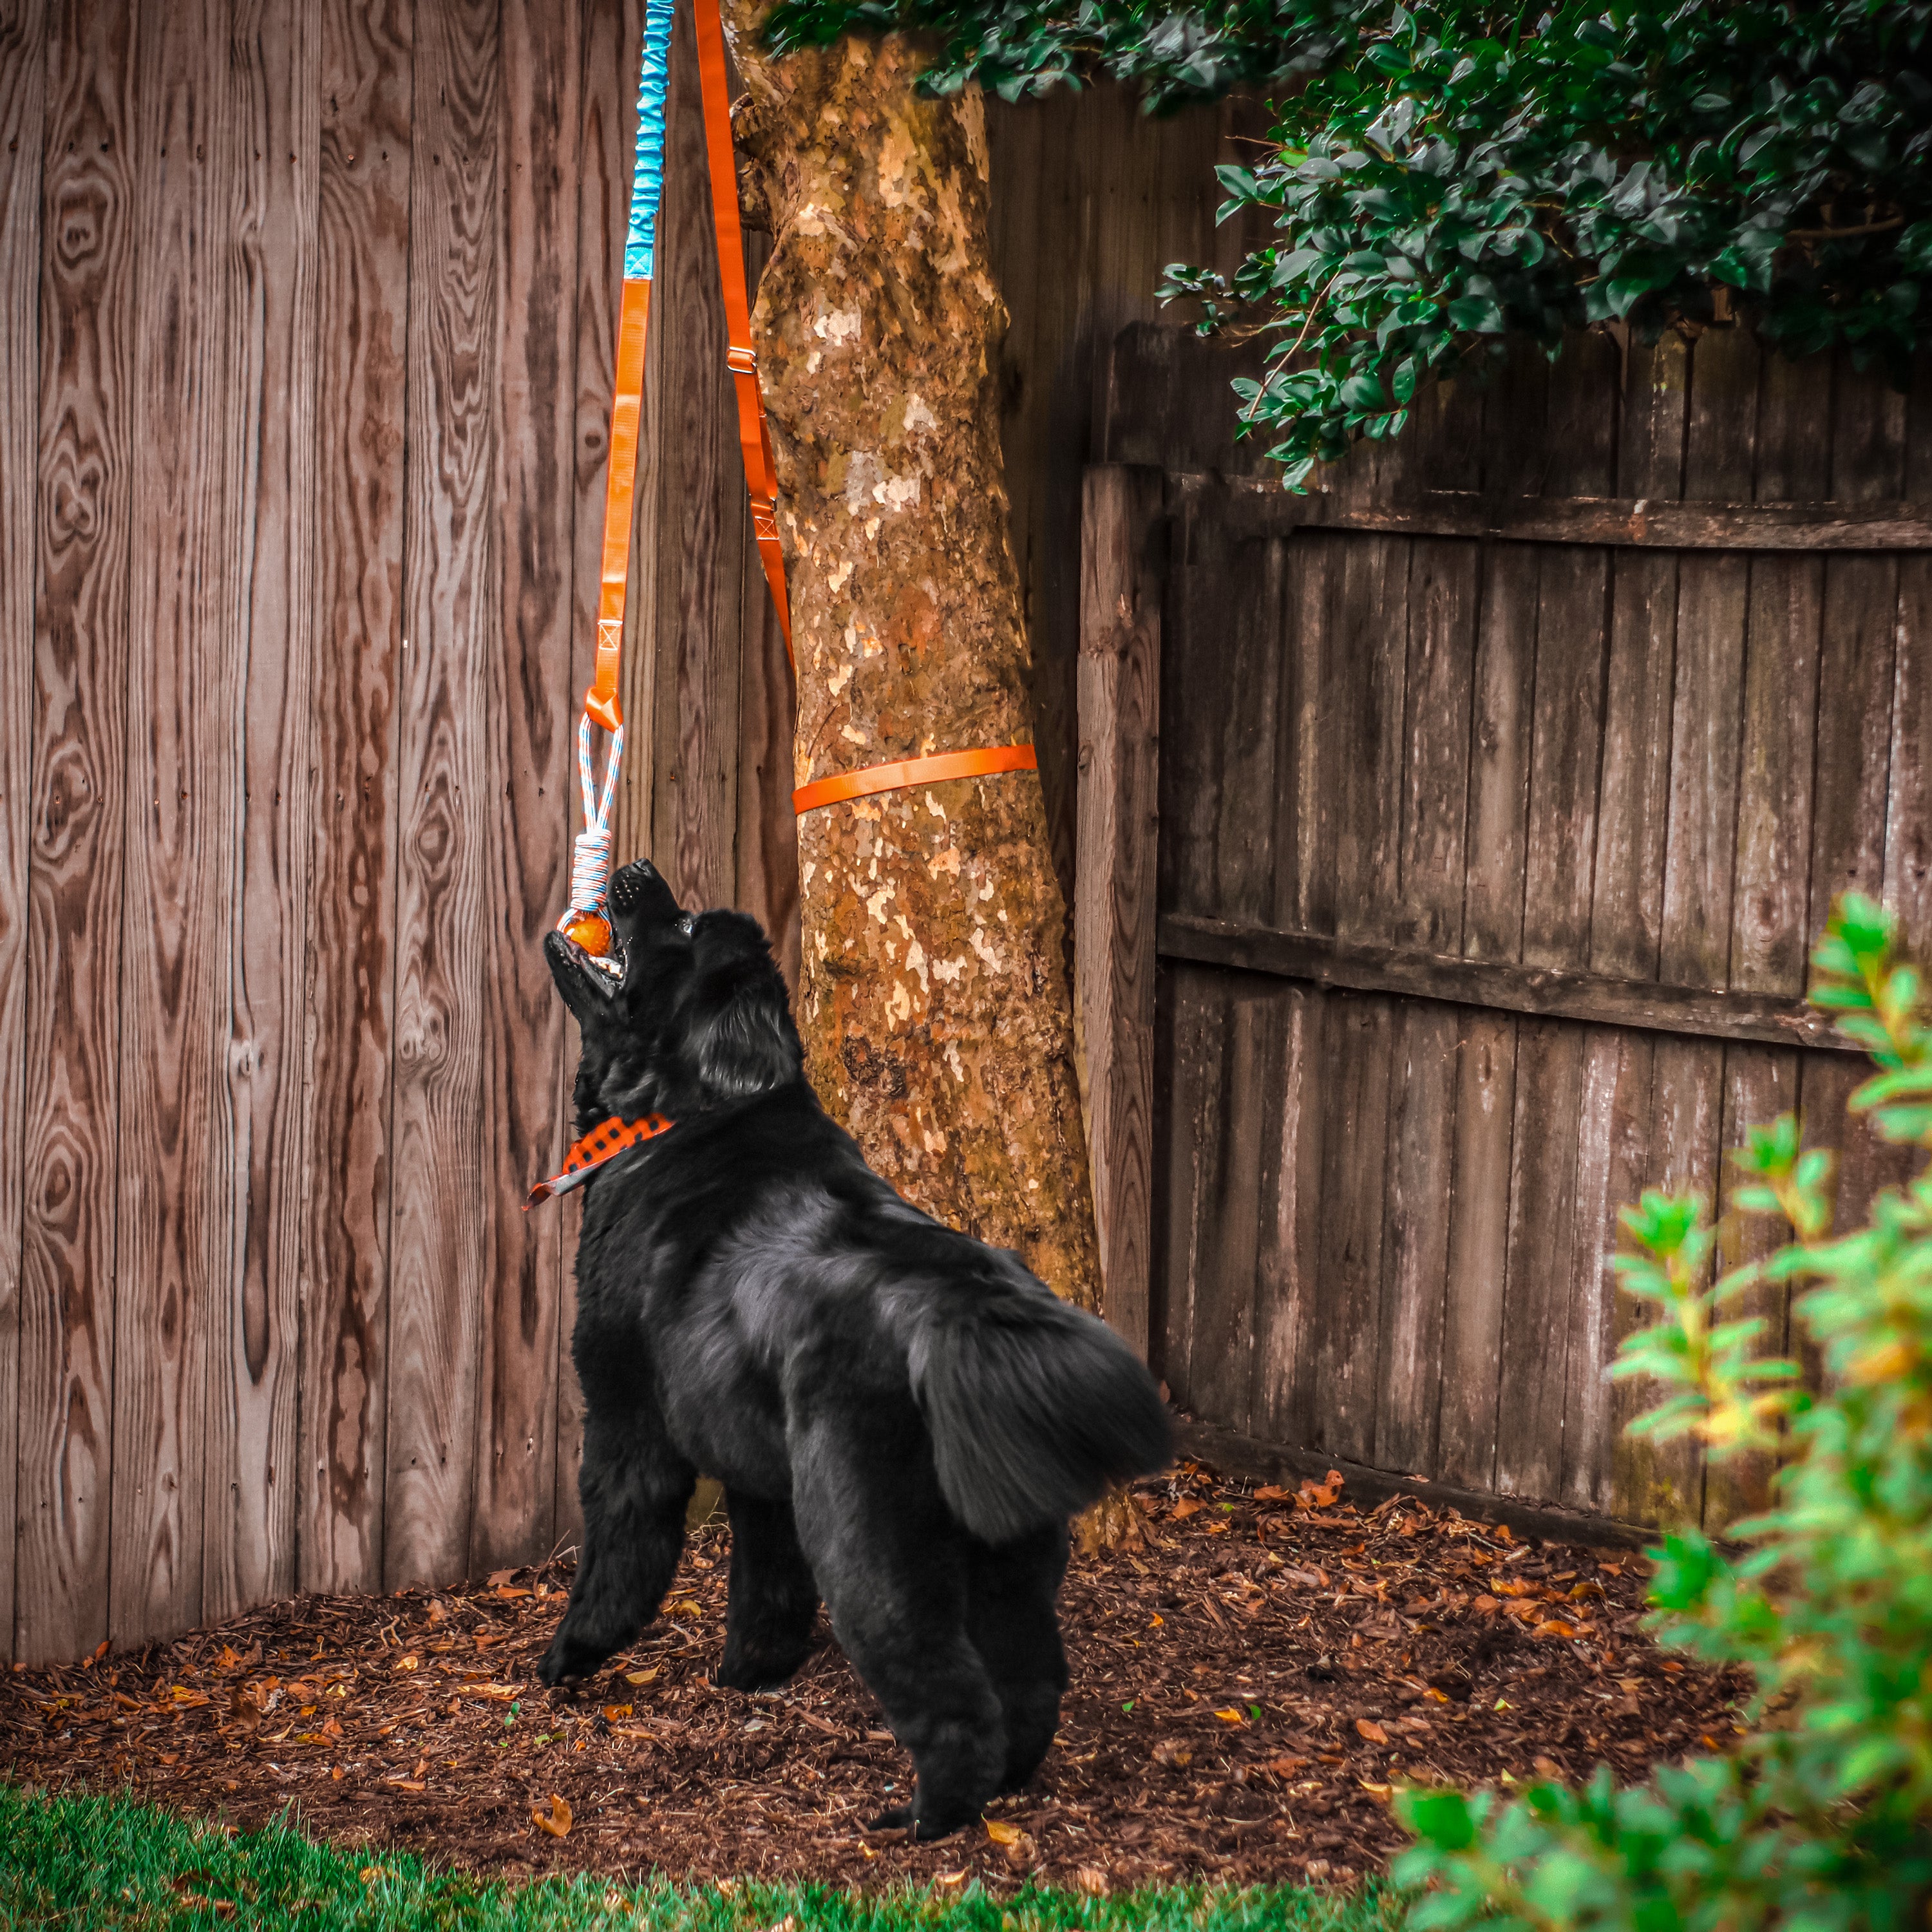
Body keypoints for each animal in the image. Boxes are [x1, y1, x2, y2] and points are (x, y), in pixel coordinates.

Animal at [537, 866, 1167, 1839]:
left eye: (684, 926)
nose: (637, 872)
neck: (689, 1110)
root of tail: (967, 1309)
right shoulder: (760, 1472)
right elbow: (765, 1587)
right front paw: (749, 1677)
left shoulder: (627, 1418)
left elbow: (620, 1553)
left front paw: (571, 1657)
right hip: (1006, 1551)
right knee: (1031, 1679)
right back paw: (1009, 1786)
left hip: (868, 1540)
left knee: (948, 1694)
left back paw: (925, 1818)